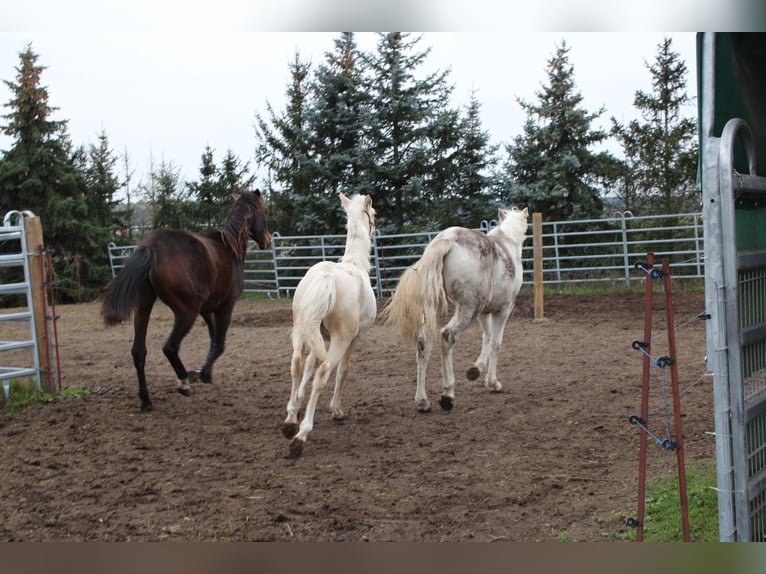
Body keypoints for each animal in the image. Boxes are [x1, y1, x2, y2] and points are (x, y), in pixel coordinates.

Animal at [102, 191, 270, 412]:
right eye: (265, 211)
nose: (267, 240)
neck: (230, 246)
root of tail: (151, 247)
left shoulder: (206, 310)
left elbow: (213, 338)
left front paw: (205, 371)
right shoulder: (225, 308)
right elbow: (219, 344)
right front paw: (203, 374)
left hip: (144, 307)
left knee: (138, 352)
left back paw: (146, 400)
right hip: (187, 312)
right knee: (170, 347)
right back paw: (184, 382)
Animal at [282, 194, 378, 460]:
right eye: (374, 214)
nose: (375, 230)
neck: (355, 264)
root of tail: (327, 277)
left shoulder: (319, 337)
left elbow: (308, 365)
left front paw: (299, 400)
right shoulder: (353, 339)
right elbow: (343, 370)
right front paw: (336, 410)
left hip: (302, 330)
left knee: (296, 364)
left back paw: (291, 418)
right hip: (340, 339)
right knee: (324, 373)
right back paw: (301, 435)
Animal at [388, 207, 532, 414]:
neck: (507, 245)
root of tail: (447, 240)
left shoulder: (484, 312)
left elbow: (486, 337)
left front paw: (477, 369)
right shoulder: (504, 309)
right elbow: (495, 343)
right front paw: (492, 383)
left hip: (436, 309)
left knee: (424, 344)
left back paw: (422, 401)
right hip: (467, 309)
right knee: (447, 336)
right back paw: (448, 394)